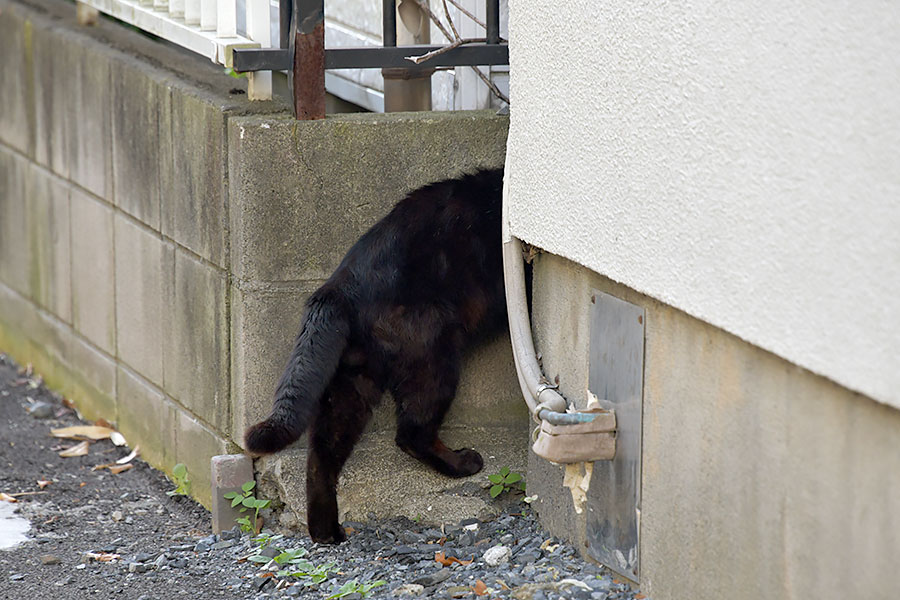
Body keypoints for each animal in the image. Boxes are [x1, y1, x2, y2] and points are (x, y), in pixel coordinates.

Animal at [246, 168, 510, 544]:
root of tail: (339, 286)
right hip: (433, 357)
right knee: (412, 432)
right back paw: (462, 464)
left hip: (352, 383)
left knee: (322, 456)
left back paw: (326, 532)